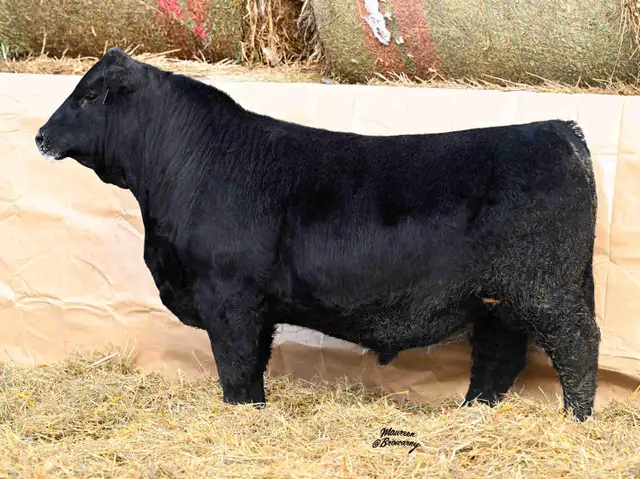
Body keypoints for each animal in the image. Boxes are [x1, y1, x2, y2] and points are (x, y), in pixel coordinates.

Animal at [35, 47, 600, 421]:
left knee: (578, 344)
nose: (40, 135)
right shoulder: (255, 305)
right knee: (500, 357)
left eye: (88, 95)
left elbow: (236, 362)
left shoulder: (229, 295)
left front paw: (242, 415)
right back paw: (471, 415)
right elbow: (254, 361)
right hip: (499, 299)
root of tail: (561, 131)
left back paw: (576, 420)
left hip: (547, 290)